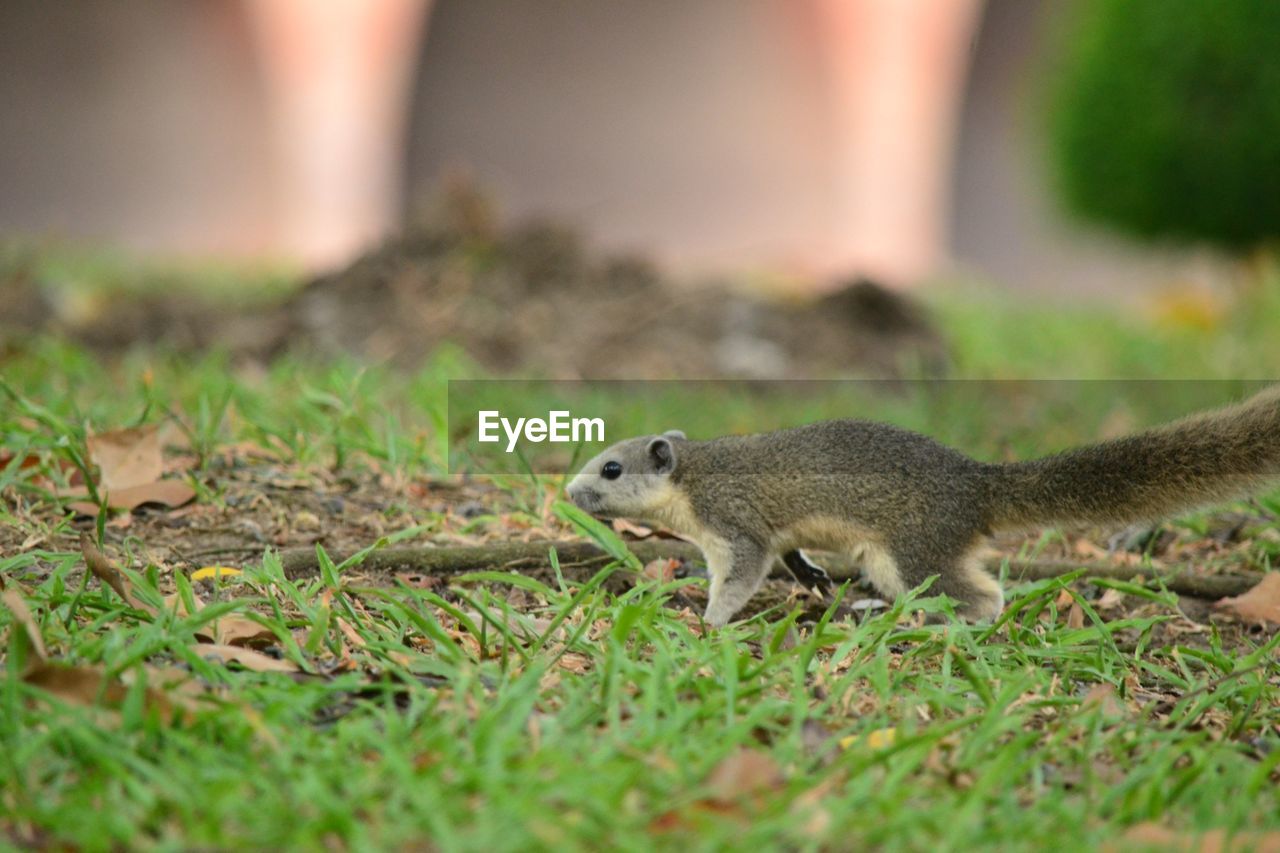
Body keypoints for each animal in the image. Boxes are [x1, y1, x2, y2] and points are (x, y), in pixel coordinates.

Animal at [565, 384, 1280, 625]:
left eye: (610, 468)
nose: (569, 493)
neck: (694, 479)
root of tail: (976, 485)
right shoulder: (772, 532)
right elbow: (789, 552)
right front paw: (812, 576)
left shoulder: (734, 526)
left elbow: (738, 576)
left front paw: (707, 620)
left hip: (908, 552)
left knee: (984, 598)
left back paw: (919, 618)